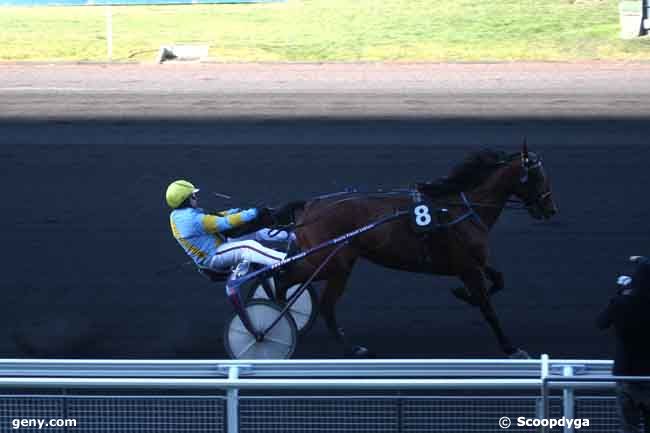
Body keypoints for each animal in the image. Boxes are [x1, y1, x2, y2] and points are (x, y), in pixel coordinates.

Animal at [270, 145, 556, 358]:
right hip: (331, 263)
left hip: (337, 264)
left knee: (310, 294)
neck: (463, 208)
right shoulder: (468, 268)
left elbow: (498, 280)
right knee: (291, 282)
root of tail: (309, 205)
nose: (551, 210)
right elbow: (488, 308)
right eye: (539, 177)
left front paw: (462, 294)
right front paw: (510, 348)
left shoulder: (474, 261)